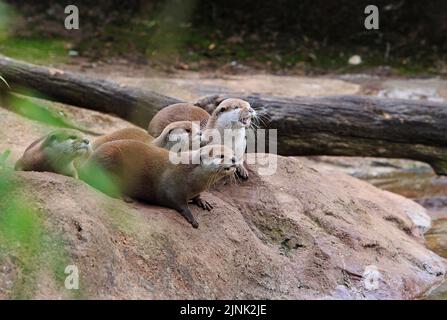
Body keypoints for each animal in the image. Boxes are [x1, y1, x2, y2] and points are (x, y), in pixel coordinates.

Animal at [79, 141, 238, 228]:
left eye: (234, 154)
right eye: (222, 156)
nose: (235, 160)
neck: (192, 177)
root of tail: (87, 163)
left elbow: (196, 197)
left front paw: (202, 201)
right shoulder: (171, 187)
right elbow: (178, 203)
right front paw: (192, 218)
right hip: (109, 158)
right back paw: (124, 197)